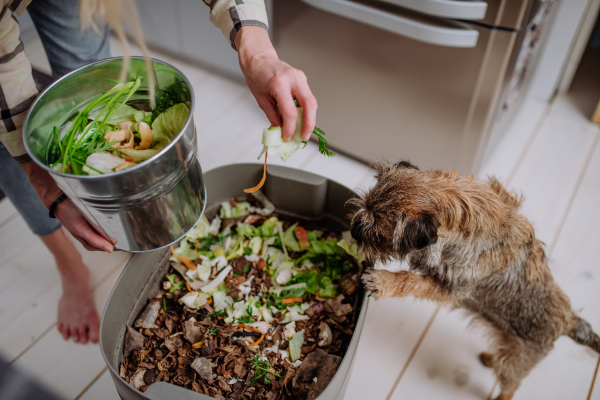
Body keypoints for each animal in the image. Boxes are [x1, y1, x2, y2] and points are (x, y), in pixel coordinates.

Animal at [352, 160, 600, 400]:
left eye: (378, 236)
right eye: (363, 204)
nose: (354, 230)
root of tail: (570, 320)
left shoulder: (450, 290)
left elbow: (412, 280)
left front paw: (384, 281)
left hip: (515, 362)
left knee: (511, 386)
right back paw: (491, 358)